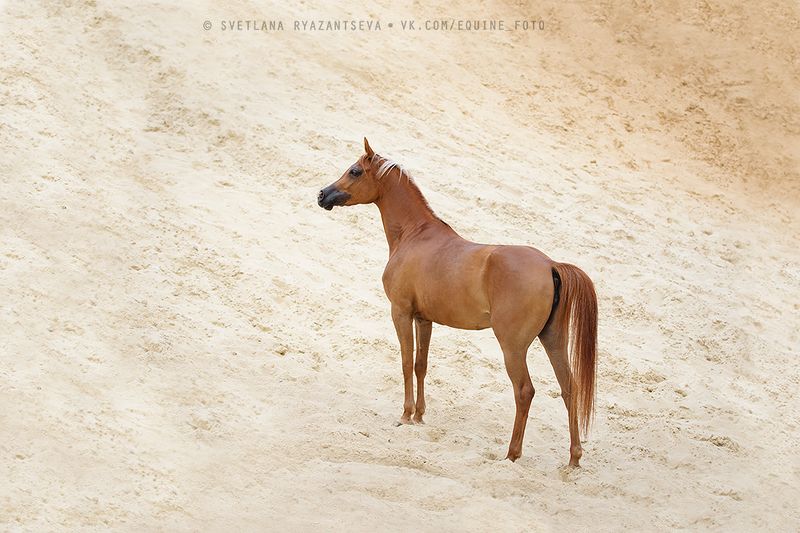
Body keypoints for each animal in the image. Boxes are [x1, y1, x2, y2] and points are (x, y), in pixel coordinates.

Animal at [317, 138, 598, 466]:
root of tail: (551, 265)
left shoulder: (401, 313)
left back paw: (512, 454)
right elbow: (420, 365)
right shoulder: (424, 318)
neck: (415, 235)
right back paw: (573, 458)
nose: (322, 195)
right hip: (553, 340)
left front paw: (405, 415)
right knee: (569, 389)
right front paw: (420, 416)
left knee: (524, 391)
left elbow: (405, 362)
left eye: (355, 171)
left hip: (513, 348)